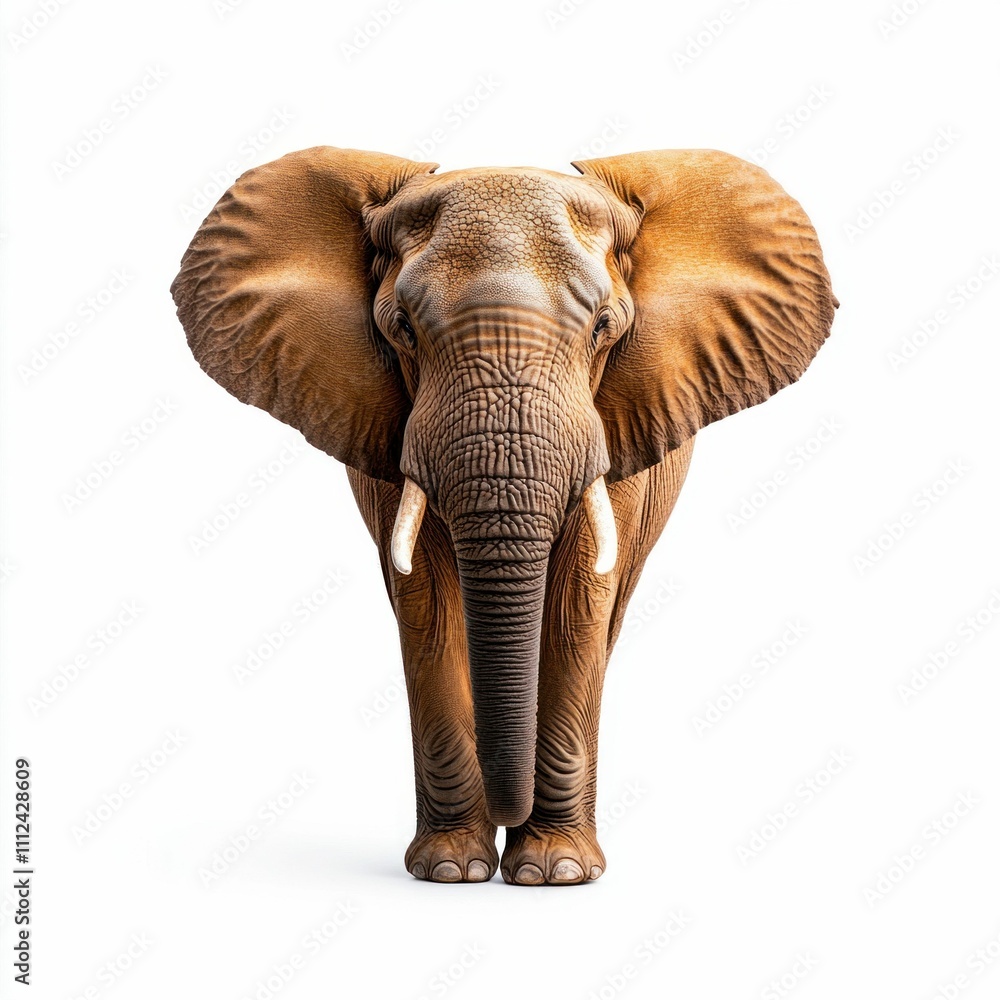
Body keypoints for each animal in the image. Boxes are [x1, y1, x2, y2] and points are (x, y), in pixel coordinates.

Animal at [171, 146, 836, 885]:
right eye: (400, 329)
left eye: (605, 328)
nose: (506, 815)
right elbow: (426, 597)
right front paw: (451, 871)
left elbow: (579, 599)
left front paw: (556, 874)